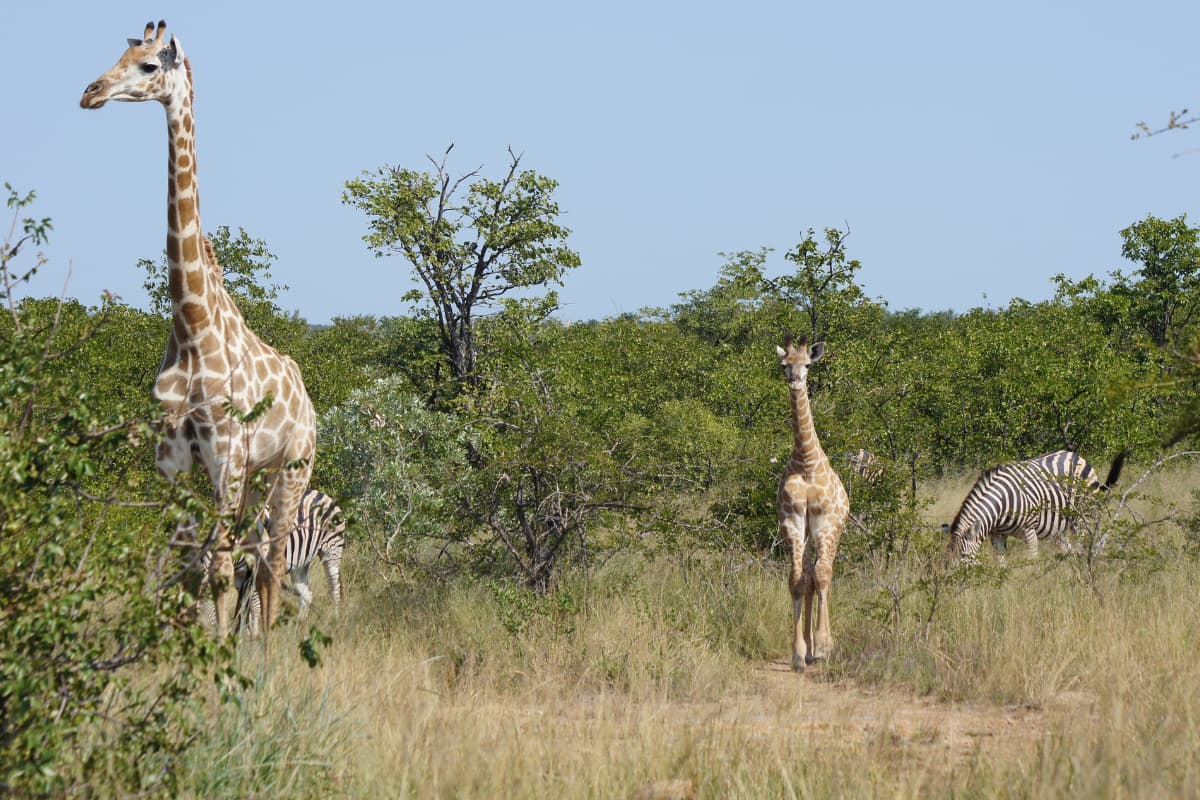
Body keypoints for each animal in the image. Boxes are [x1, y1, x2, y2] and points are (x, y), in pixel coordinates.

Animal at [81, 21, 316, 637]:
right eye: (119, 55)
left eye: (148, 66)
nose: (90, 92)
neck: (191, 324)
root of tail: (307, 399)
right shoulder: (172, 461)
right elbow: (185, 565)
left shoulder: (226, 456)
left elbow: (217, 567)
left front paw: (220, 654)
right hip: (258, 475)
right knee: (257, 558)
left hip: (292, 468)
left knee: (272, 558)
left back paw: (265, 651)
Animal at [943, 449, 1127, 561]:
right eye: (948, 558)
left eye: (963, 555)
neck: (1002, 504)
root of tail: (1077, 456)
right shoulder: (997, 536)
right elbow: (1001, 563)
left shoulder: (1029, 530)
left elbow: (1033, 560)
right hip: (1061, 524)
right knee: (1067, 547)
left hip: (1083, 515)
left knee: (1082, 543)